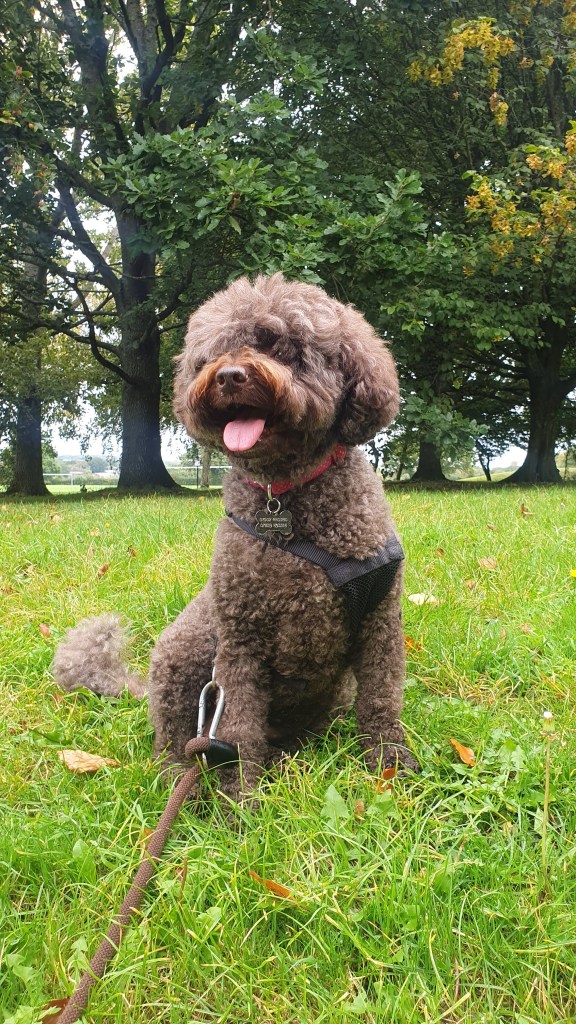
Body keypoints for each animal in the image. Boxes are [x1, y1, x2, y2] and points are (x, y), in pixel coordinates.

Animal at [53, 274, 419, 800]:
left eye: (283, 346)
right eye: (213, 353)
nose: (228, 376)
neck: (283, 496)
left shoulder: (380, 620)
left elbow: (382, 701)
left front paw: (390, 767)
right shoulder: (240, 643)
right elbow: (237, 730)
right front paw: (239, 804)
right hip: (182, 649)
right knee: (173, 738)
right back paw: (182, 784)